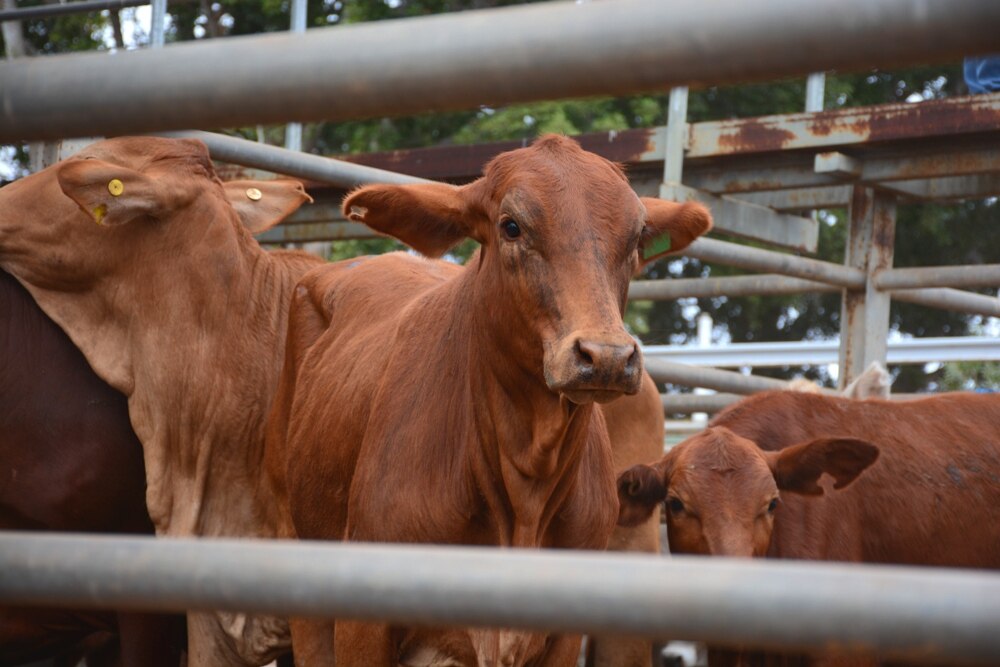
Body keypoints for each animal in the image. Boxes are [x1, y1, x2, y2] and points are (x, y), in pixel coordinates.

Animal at [263, 134, 712, 667]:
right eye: (511, 225)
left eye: (638, 238)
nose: (606, 356)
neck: (525, 486)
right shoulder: (362, 622)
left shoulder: (563, 638)